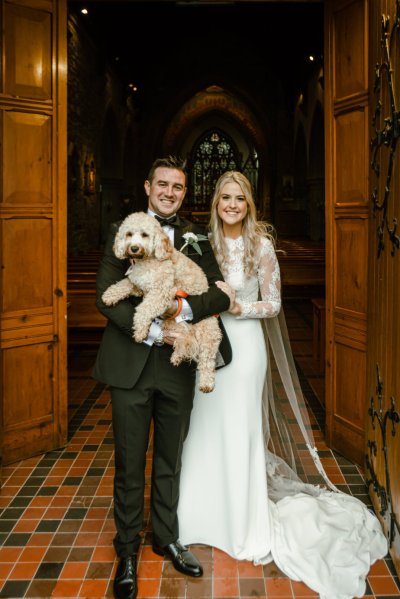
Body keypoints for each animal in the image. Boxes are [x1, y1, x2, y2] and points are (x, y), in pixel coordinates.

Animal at [101, 212, 222, 394]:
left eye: (145, 235)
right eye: (129, 234)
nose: (134, 248)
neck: (147, 260)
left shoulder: (160, 293)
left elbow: (143, 310)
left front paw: (140, 332)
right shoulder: (139, 285)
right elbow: (124, 284)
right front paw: (110, 295)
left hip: (207, 332)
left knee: (207, 359)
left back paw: (206, 383)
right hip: (174, 326)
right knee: (185, 341)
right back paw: (177, 355)